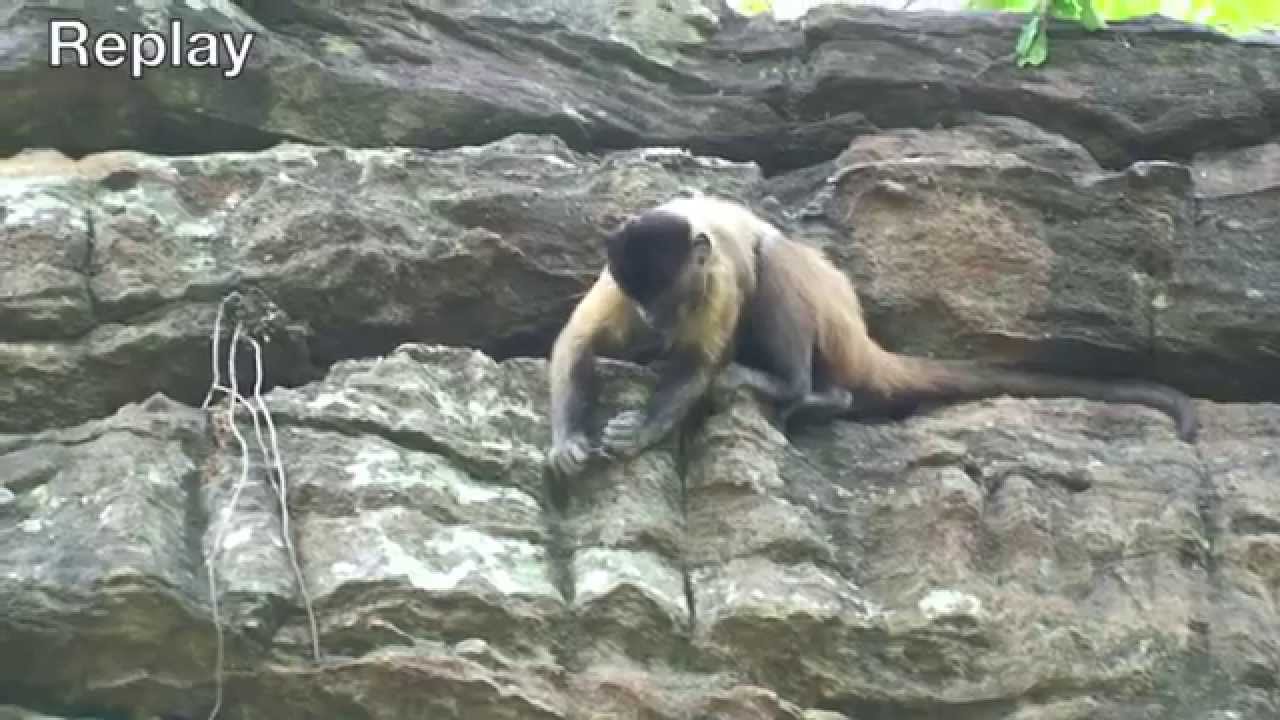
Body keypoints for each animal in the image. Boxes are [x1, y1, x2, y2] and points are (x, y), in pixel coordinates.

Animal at [545, 193, 1199, 478]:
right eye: (642, 299)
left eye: (667, 296)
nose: (652, 320)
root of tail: (860, 333)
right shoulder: (617, 277)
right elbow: (576, 344)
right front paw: (569, 441)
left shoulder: (715, 281)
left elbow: (700, 363)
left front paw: (640, 430)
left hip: (828, 316)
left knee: (773, 260)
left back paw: (800, 390)